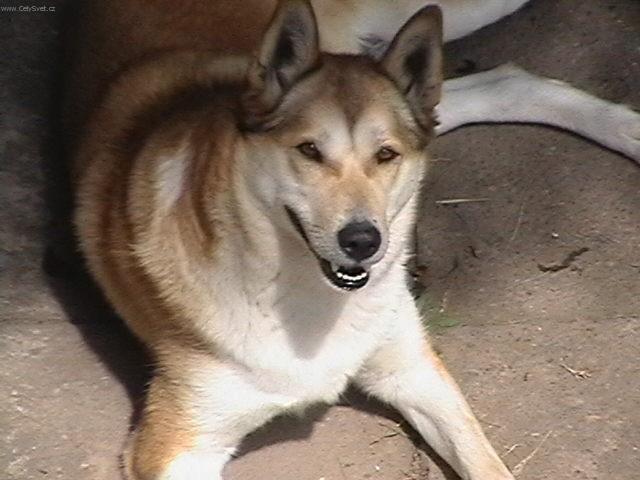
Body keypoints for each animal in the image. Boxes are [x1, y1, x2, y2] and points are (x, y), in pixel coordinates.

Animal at [67, 0, 636, 480]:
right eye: (309, 150)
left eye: (386, 156)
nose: (363, 240)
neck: (300, 294)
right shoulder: (179, 443)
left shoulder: (412, 368)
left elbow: (487, 465)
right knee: (501, 84)